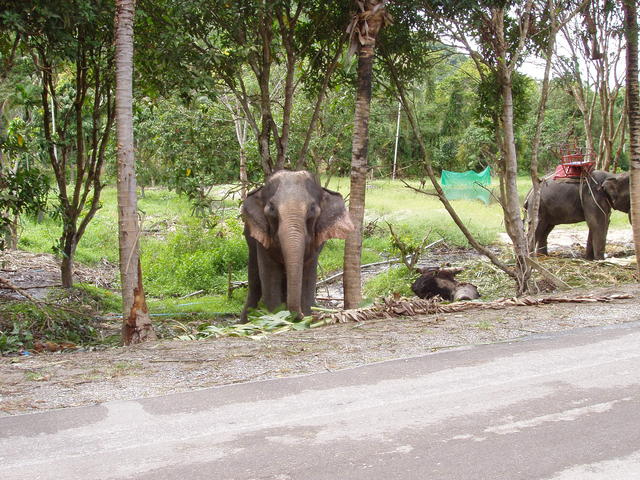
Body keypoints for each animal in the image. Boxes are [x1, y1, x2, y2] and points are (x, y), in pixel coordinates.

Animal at [240, 170, 354, 321]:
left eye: (312, 209)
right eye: (272, 208)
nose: (299, 315)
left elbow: (308, 277)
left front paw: (304, 319)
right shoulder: (263, 240)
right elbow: (270, 275)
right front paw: (278, 319)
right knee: (254, 282)